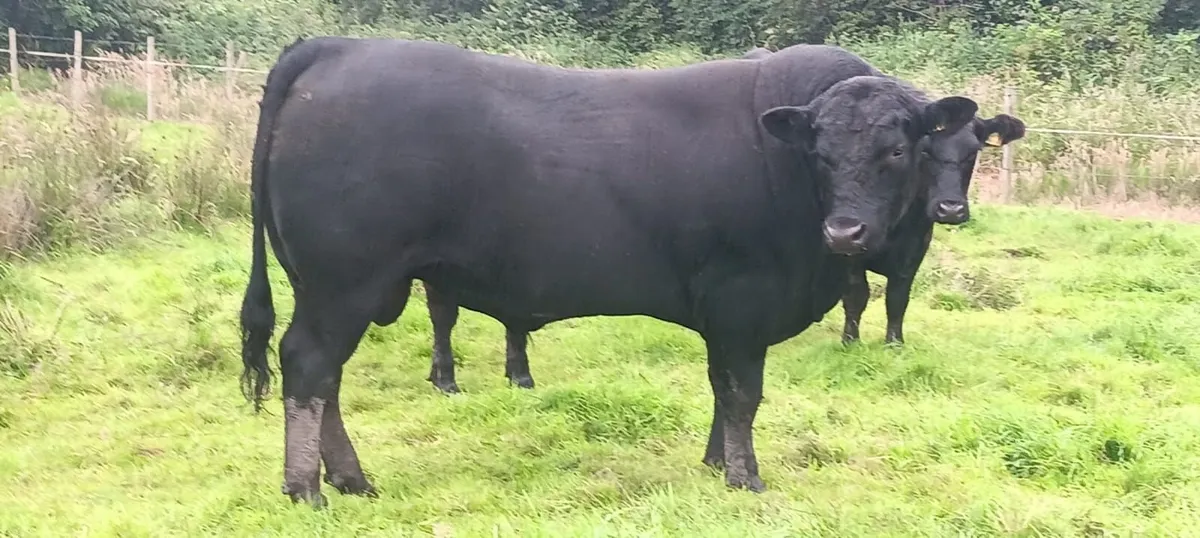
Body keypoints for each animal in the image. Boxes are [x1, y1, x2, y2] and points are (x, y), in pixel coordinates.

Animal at [238, 36, 983, 506]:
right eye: (821, 151)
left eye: (897, 149)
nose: (846, 231)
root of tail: (337, 46)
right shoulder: (743, 299)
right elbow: (743, 392)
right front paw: (745, 477)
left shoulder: (724, 312)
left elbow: (721, 390)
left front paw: (716, 463)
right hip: (343, 282)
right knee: (309, 367)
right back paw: (307, 488)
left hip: (335, 287)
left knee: (325, 378)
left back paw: (349, 480)